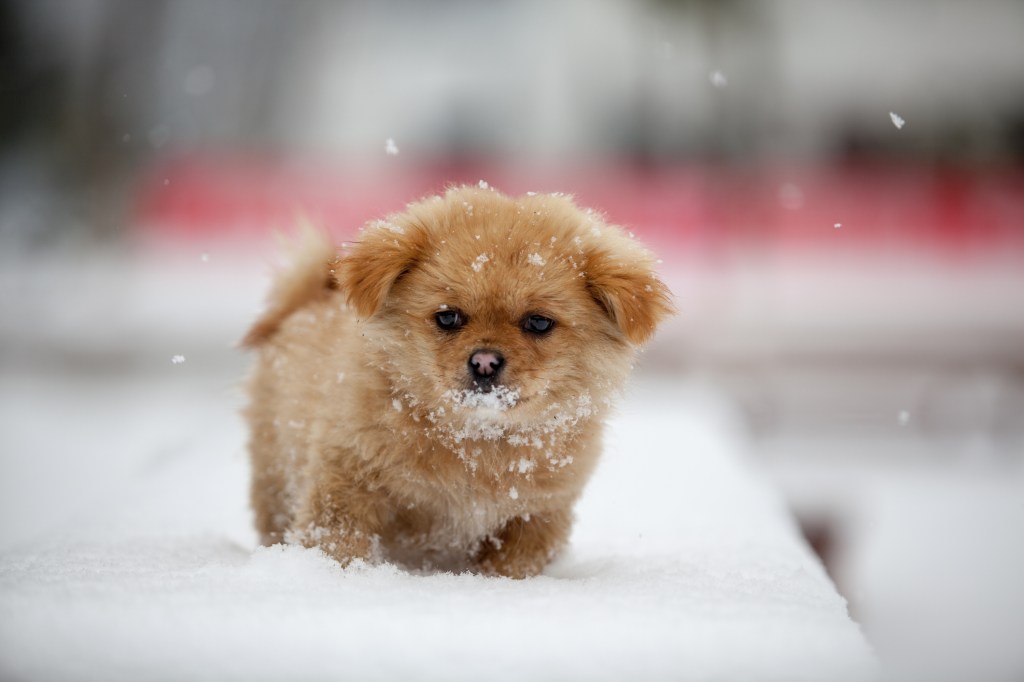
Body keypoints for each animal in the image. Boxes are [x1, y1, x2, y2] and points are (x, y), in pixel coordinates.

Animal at [239, 183, 671, 577]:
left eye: (538, 322)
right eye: (448, 317)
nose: (484, 361)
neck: (477, 445)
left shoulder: (539, 513)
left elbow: (514, 563)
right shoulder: (346, 479)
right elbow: (337, 540)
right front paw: (334, 576)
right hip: (276, 473)